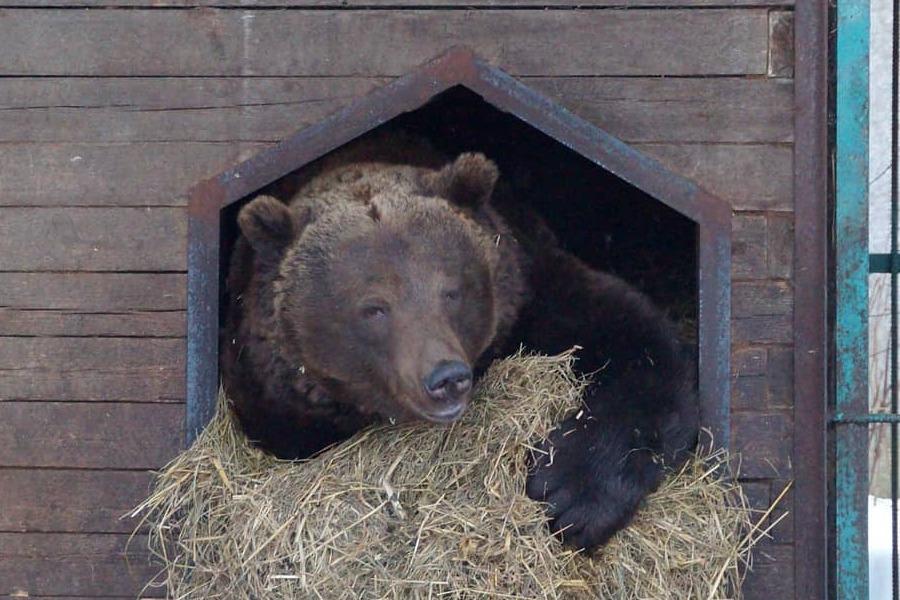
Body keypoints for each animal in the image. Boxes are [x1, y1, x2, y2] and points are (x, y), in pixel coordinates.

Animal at [221, 134, 700, 552]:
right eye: (374, 308)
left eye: (450, 290)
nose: (445, 377)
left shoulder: (532, 289)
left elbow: (637, 344)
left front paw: (568, 494)